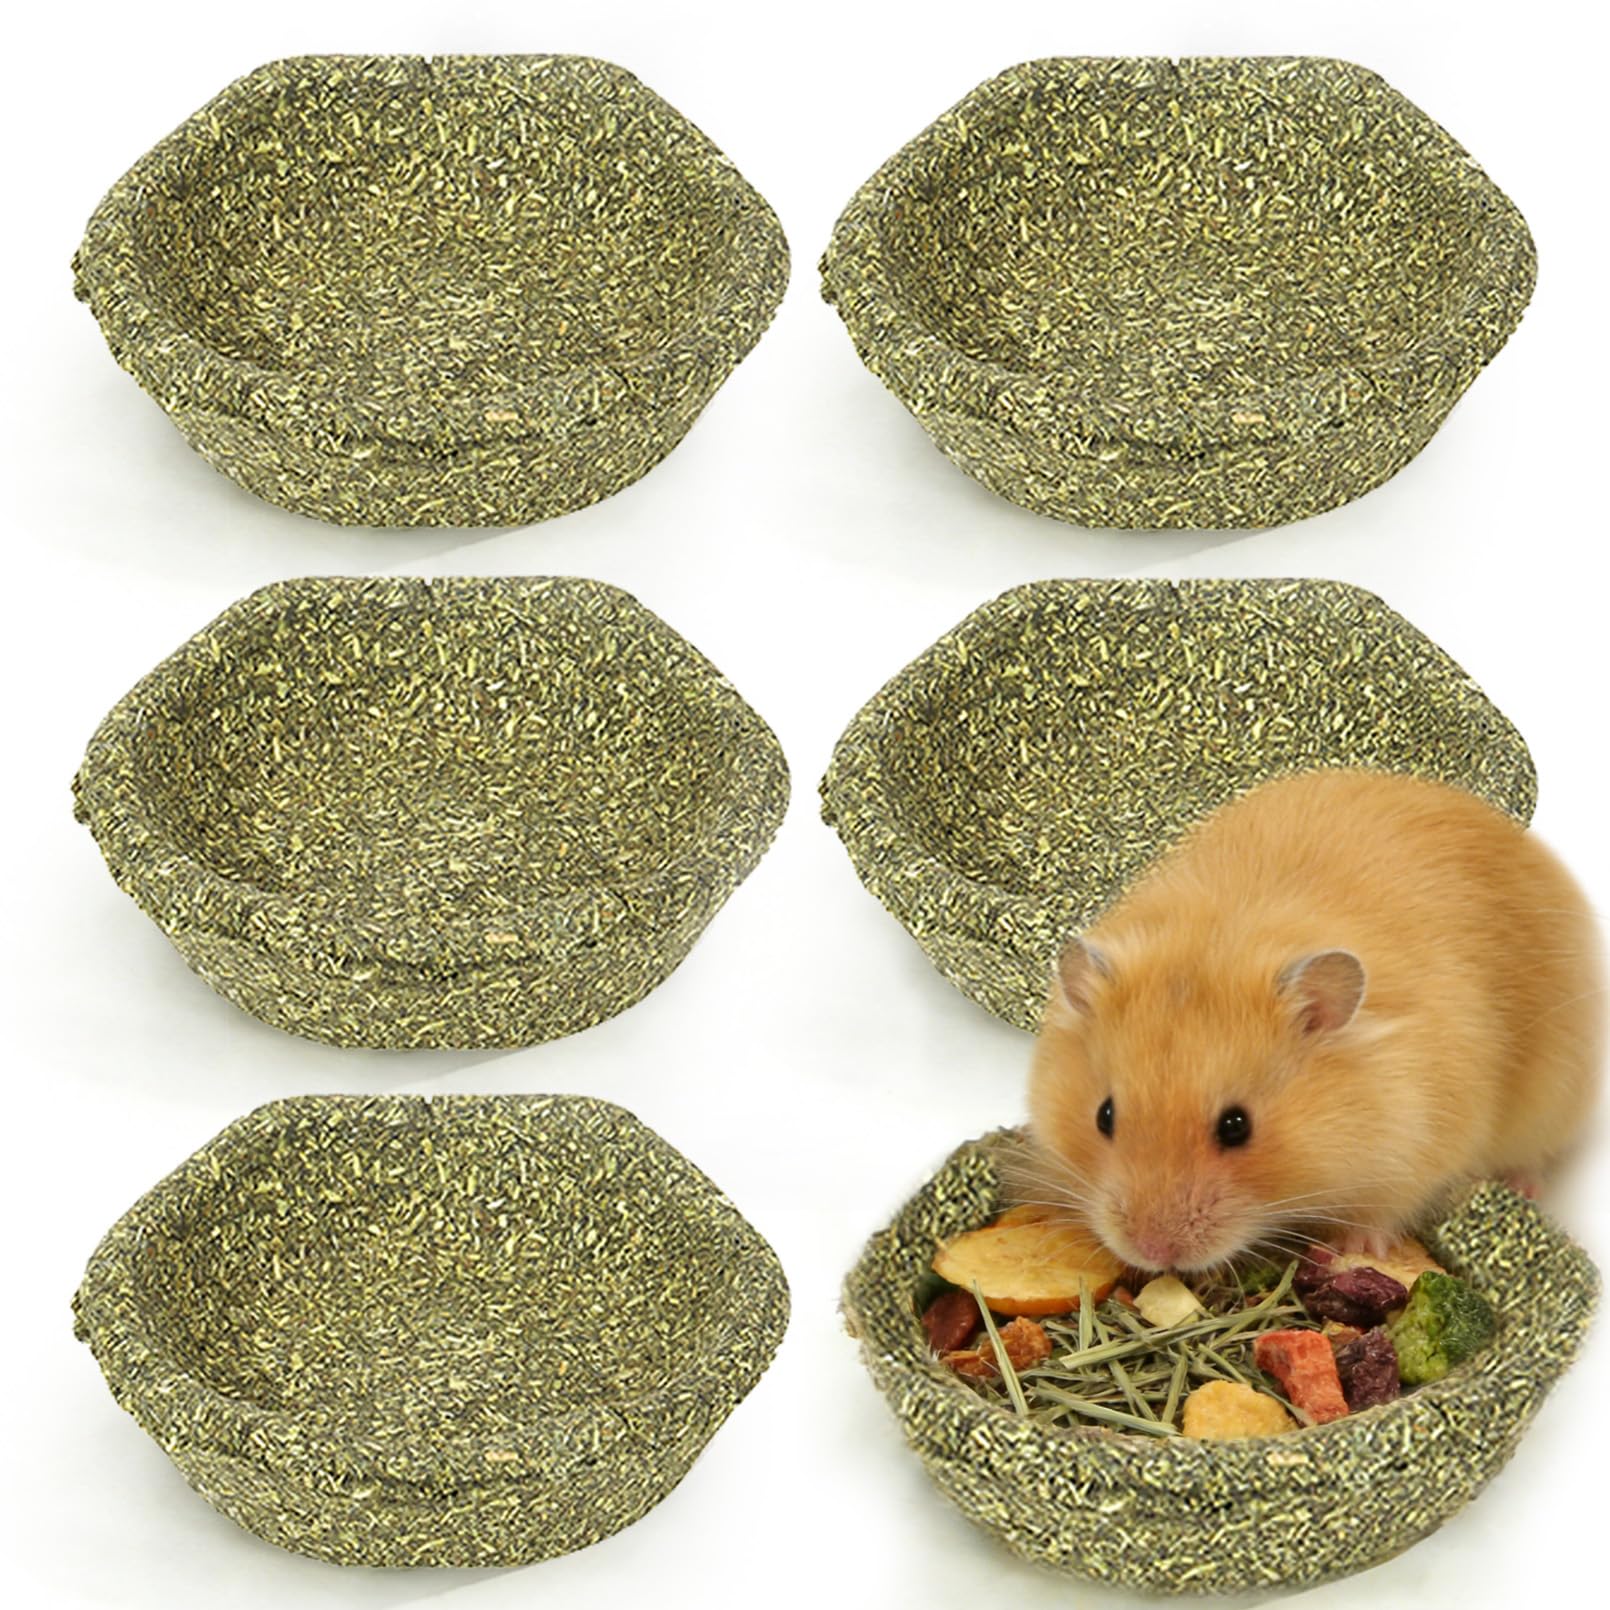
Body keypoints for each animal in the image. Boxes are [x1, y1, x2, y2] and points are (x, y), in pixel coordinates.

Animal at [1024, 768, 1603, 1274]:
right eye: (1104, 1116)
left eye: (1237, 1126)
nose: (1153, 1251)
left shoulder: (1424, 1143)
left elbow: (1385, 1206)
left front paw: (1358, 1246)